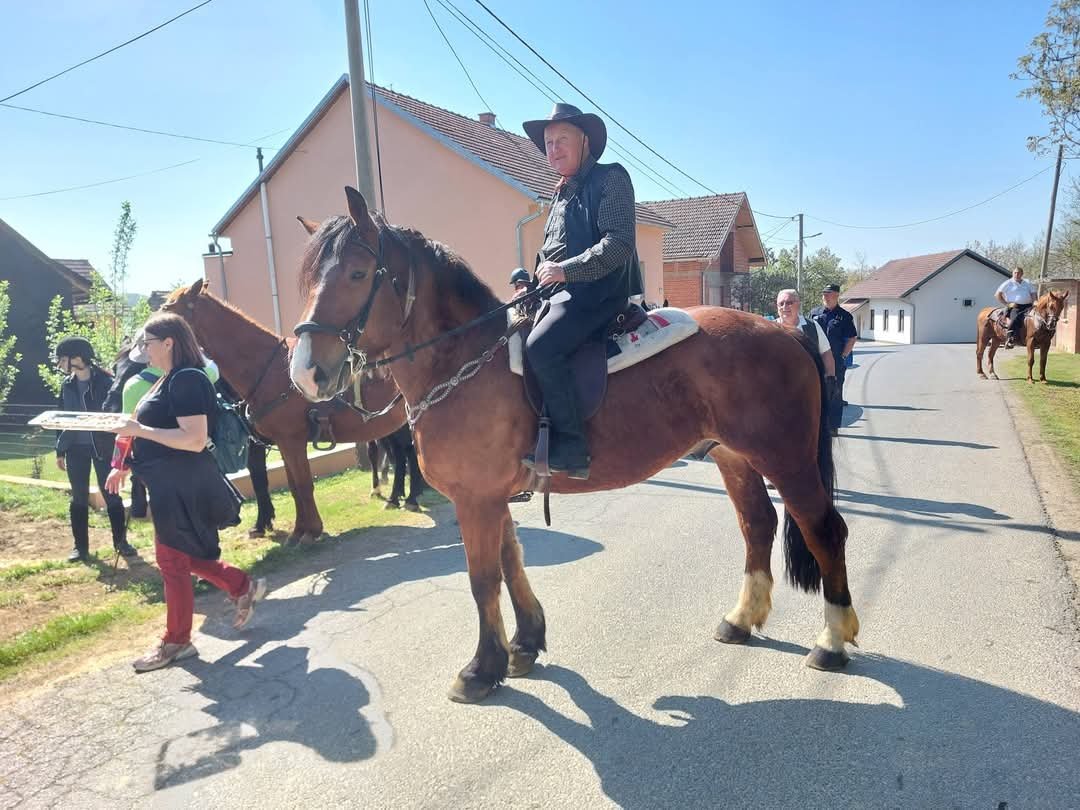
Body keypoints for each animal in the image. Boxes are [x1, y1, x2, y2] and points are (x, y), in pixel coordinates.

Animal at [161, 280, 416, 544]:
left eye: (168, 307)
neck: (270, 368)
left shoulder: (291, 440)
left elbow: (302, 484)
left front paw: (311, 530)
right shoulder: (283, 442)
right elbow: (292, 485)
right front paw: (297, 529)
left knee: (406, 453)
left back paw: (407, 497)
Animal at [289, 188, 858, 703]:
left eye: (357, 274)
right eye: (308, 279)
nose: (307, 373)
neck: (465, 360)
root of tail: (787, 333)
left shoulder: (475, 499)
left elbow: (483, 579)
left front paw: (481, 669)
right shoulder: (491, 497)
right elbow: (511, 561)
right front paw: (524, 644)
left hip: (785, 458)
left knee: (824, 530)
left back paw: (832, 640)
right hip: (733, 457)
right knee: (757, 524)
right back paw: (741, 618)